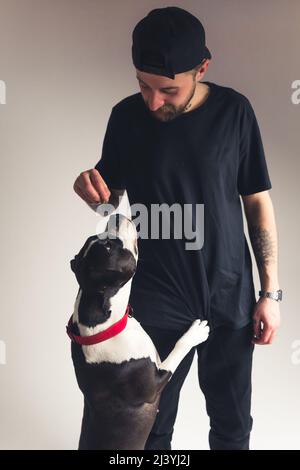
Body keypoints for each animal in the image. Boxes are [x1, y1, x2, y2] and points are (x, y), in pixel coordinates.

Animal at [67, 215, 209, 450]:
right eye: (109, 246)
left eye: (98, 238)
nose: (115, 216)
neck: (106, 326)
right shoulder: (156, 383)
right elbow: (177, 351)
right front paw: (195, 333)